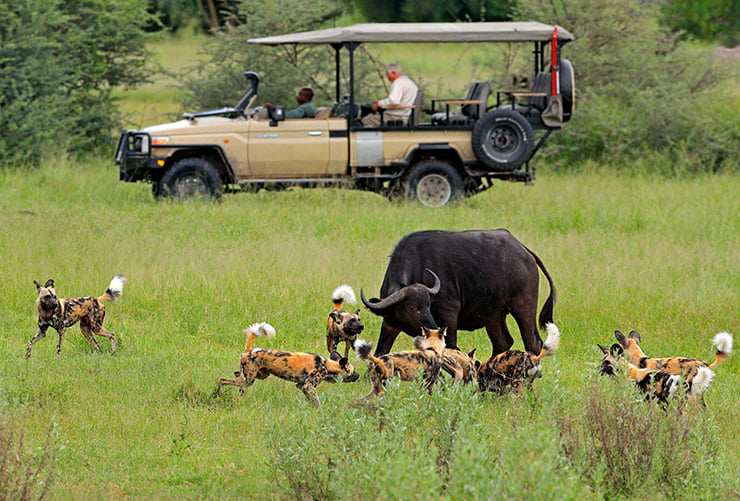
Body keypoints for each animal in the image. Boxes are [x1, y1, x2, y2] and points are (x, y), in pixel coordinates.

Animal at [218, 320, 356, 406]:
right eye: (353, 371)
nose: (358, 376)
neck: (327, 365)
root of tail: (250, 350)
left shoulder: (301, 386)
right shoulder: (308, 386)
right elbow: (317, 402)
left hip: (258, 375)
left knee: (235, 375)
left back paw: (238, 393)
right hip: (249, 380)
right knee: (222, 380)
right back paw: (216, 395)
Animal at [362, 229, 556, 358]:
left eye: (428, 304)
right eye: (411, 307)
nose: (431, 326)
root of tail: (524, 251)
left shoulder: (449, 315)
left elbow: (451, 347)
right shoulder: (390, 323)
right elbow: (380, 351)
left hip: (524, 307)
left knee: (533, 343)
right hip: (494, 316)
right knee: (503, 343)